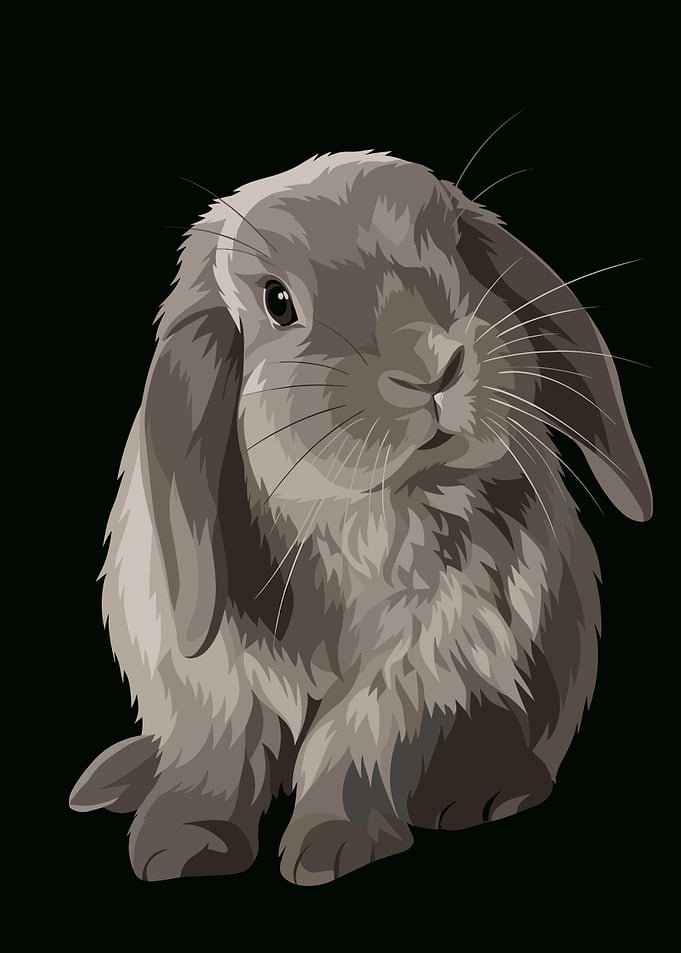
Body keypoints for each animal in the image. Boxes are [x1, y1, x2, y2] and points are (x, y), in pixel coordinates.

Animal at [70, 151, 652, 885]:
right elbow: (219, 754)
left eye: (458, 252)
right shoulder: (214, 677)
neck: (359, 513)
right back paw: (116, 778)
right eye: (277, 301)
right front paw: (179, 846)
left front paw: (331, 850)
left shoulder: (416, 663)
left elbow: (353, 744)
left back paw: (479, 790)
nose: (433, 362)